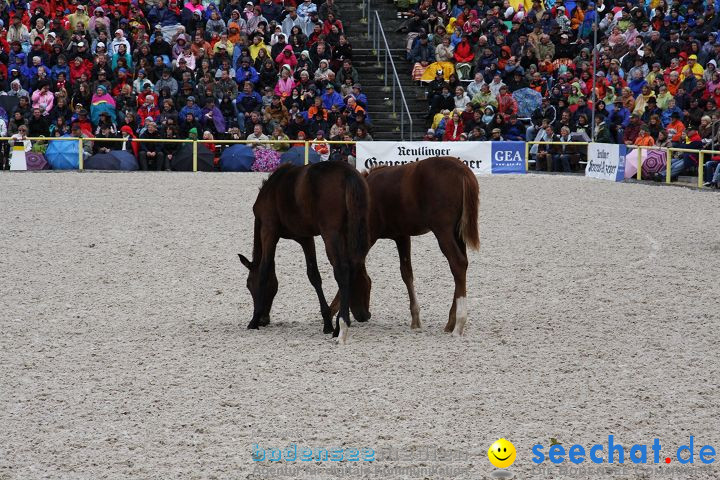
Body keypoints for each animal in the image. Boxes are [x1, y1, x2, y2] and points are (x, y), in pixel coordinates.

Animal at [238, 162, 372, 344]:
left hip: (331, 234)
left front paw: (254, 320)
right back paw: (337, 326)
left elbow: (265, 270)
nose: (264, 320)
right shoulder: (305, 238)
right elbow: (313, 275)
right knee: (353, 267)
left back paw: (342, 324)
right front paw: (327, 322)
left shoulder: (268, 230)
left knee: (342, 270)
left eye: (249, 284)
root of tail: (347, 172)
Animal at [330, 156, 478, 336]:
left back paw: (459, 323)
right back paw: (451, 321)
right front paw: (415, 318)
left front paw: (331, 310)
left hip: (443, 232)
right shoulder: (402, 236)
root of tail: (461, 170)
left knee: (457, 264)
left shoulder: (373, 235)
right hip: (457, 233)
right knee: (462, 265)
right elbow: (407, 273)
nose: (364, 316)